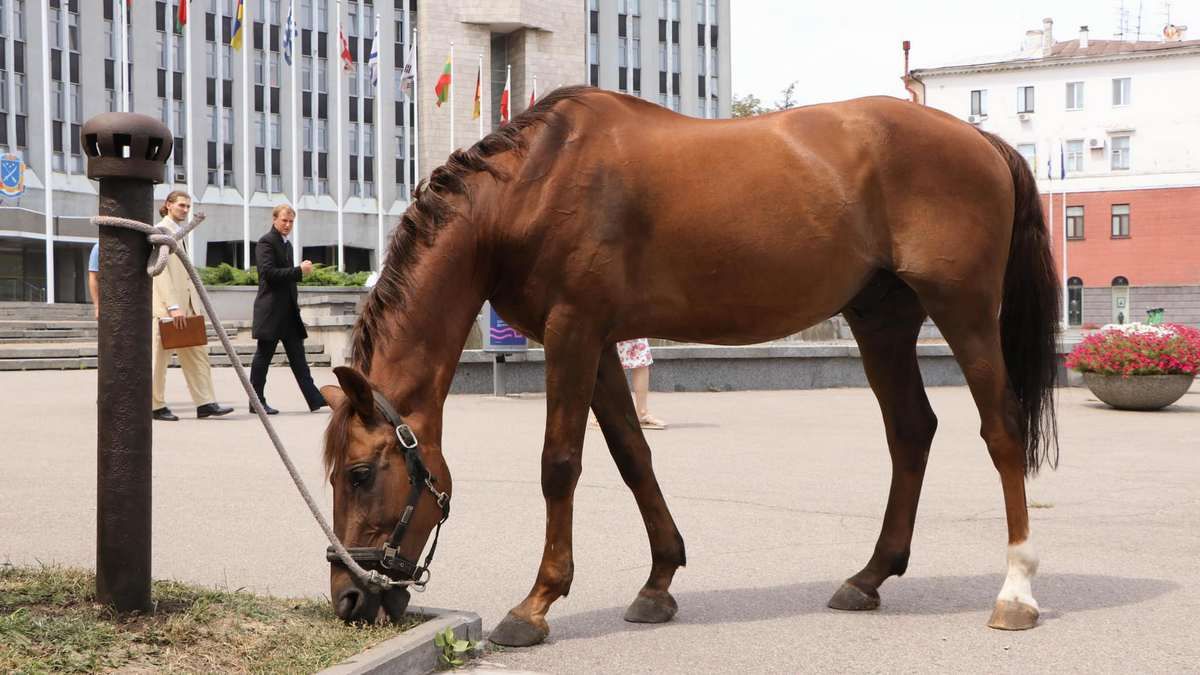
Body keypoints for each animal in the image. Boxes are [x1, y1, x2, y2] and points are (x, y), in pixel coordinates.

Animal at [319, 86, 1060, 643]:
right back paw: (869, 576)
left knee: (1000, 429)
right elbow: (631, 455)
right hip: (881, 317)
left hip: (964, 309)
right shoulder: (599, 344)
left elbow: (560, 463)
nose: (349, 598)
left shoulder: (572, 331)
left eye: (360, 473)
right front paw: (658, 582)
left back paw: (1017, 590)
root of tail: (982, 142)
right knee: (910, 430)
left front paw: (536, 603)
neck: (532, 184)